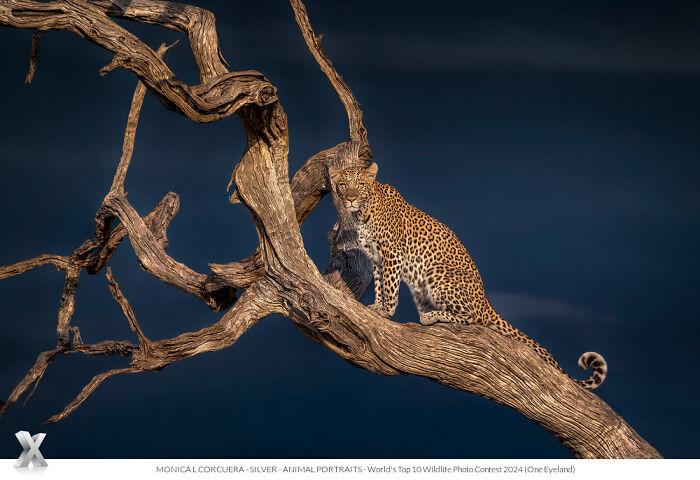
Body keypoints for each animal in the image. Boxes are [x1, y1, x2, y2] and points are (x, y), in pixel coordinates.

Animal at [329, 162, 607, 389]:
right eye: (343, 185)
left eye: (360, 185)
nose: (350, 199)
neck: (362, 213)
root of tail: (486, 302)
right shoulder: (377, 257)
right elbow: (379, 284)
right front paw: (377, 306)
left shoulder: (392, 252)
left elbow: (390, 286)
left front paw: (386, 311)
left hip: (436, 273)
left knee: (473, 318)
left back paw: (432, 316)